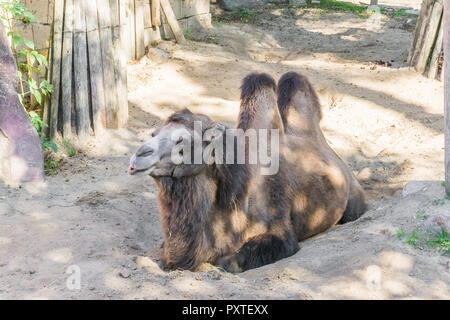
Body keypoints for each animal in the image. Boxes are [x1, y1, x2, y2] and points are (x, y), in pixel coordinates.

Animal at [127, 72, 366, 272]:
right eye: (153, 133)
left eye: (183, 141)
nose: (138, 155)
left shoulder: (280, 229)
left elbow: (231, 262)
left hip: (353, 199)